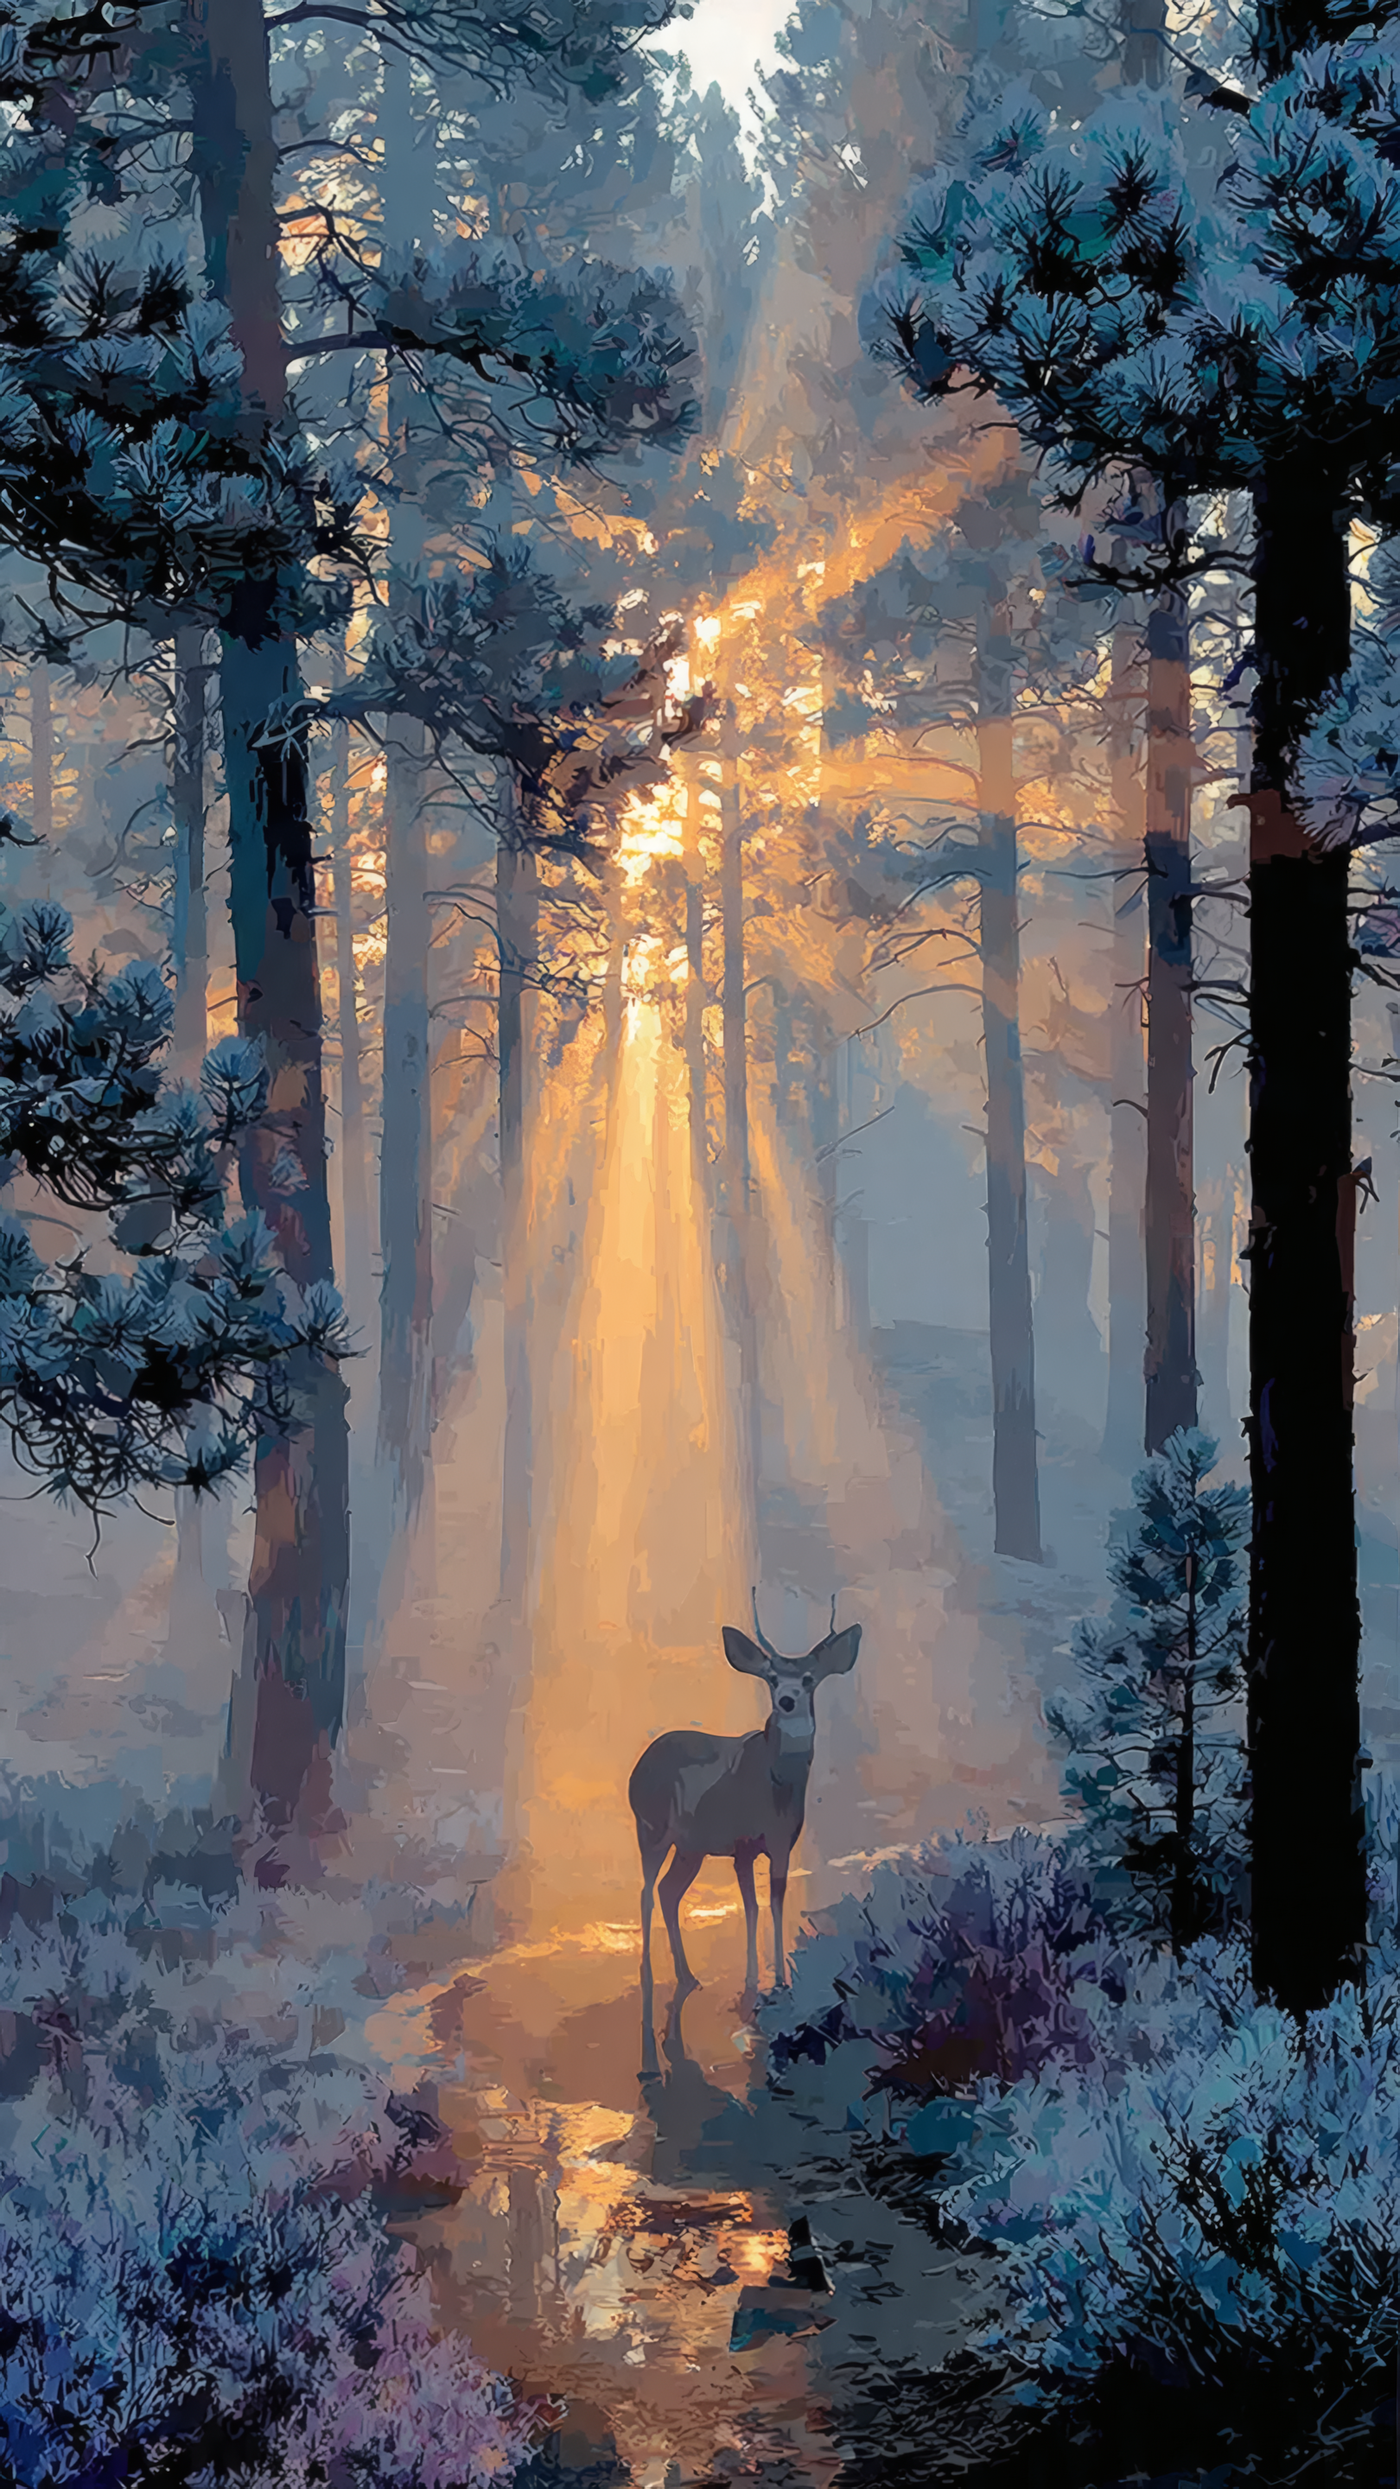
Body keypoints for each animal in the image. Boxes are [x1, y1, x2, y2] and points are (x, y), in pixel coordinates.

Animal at [628, 1591, 861, 2022]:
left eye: (808, 1679)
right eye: (771, 1678)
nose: (786, 1700)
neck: (776, 1789)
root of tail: (638, 1767)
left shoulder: (783, 1844)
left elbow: (775, 1903)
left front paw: (780, 1980)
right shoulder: (742, 1844)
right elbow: (750, 1906)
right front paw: (755, 1980)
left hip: (691, 1847)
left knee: (668, 1891)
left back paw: (688, 1976)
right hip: (650, 1828)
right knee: (648, 1891)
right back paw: (650, 1973)